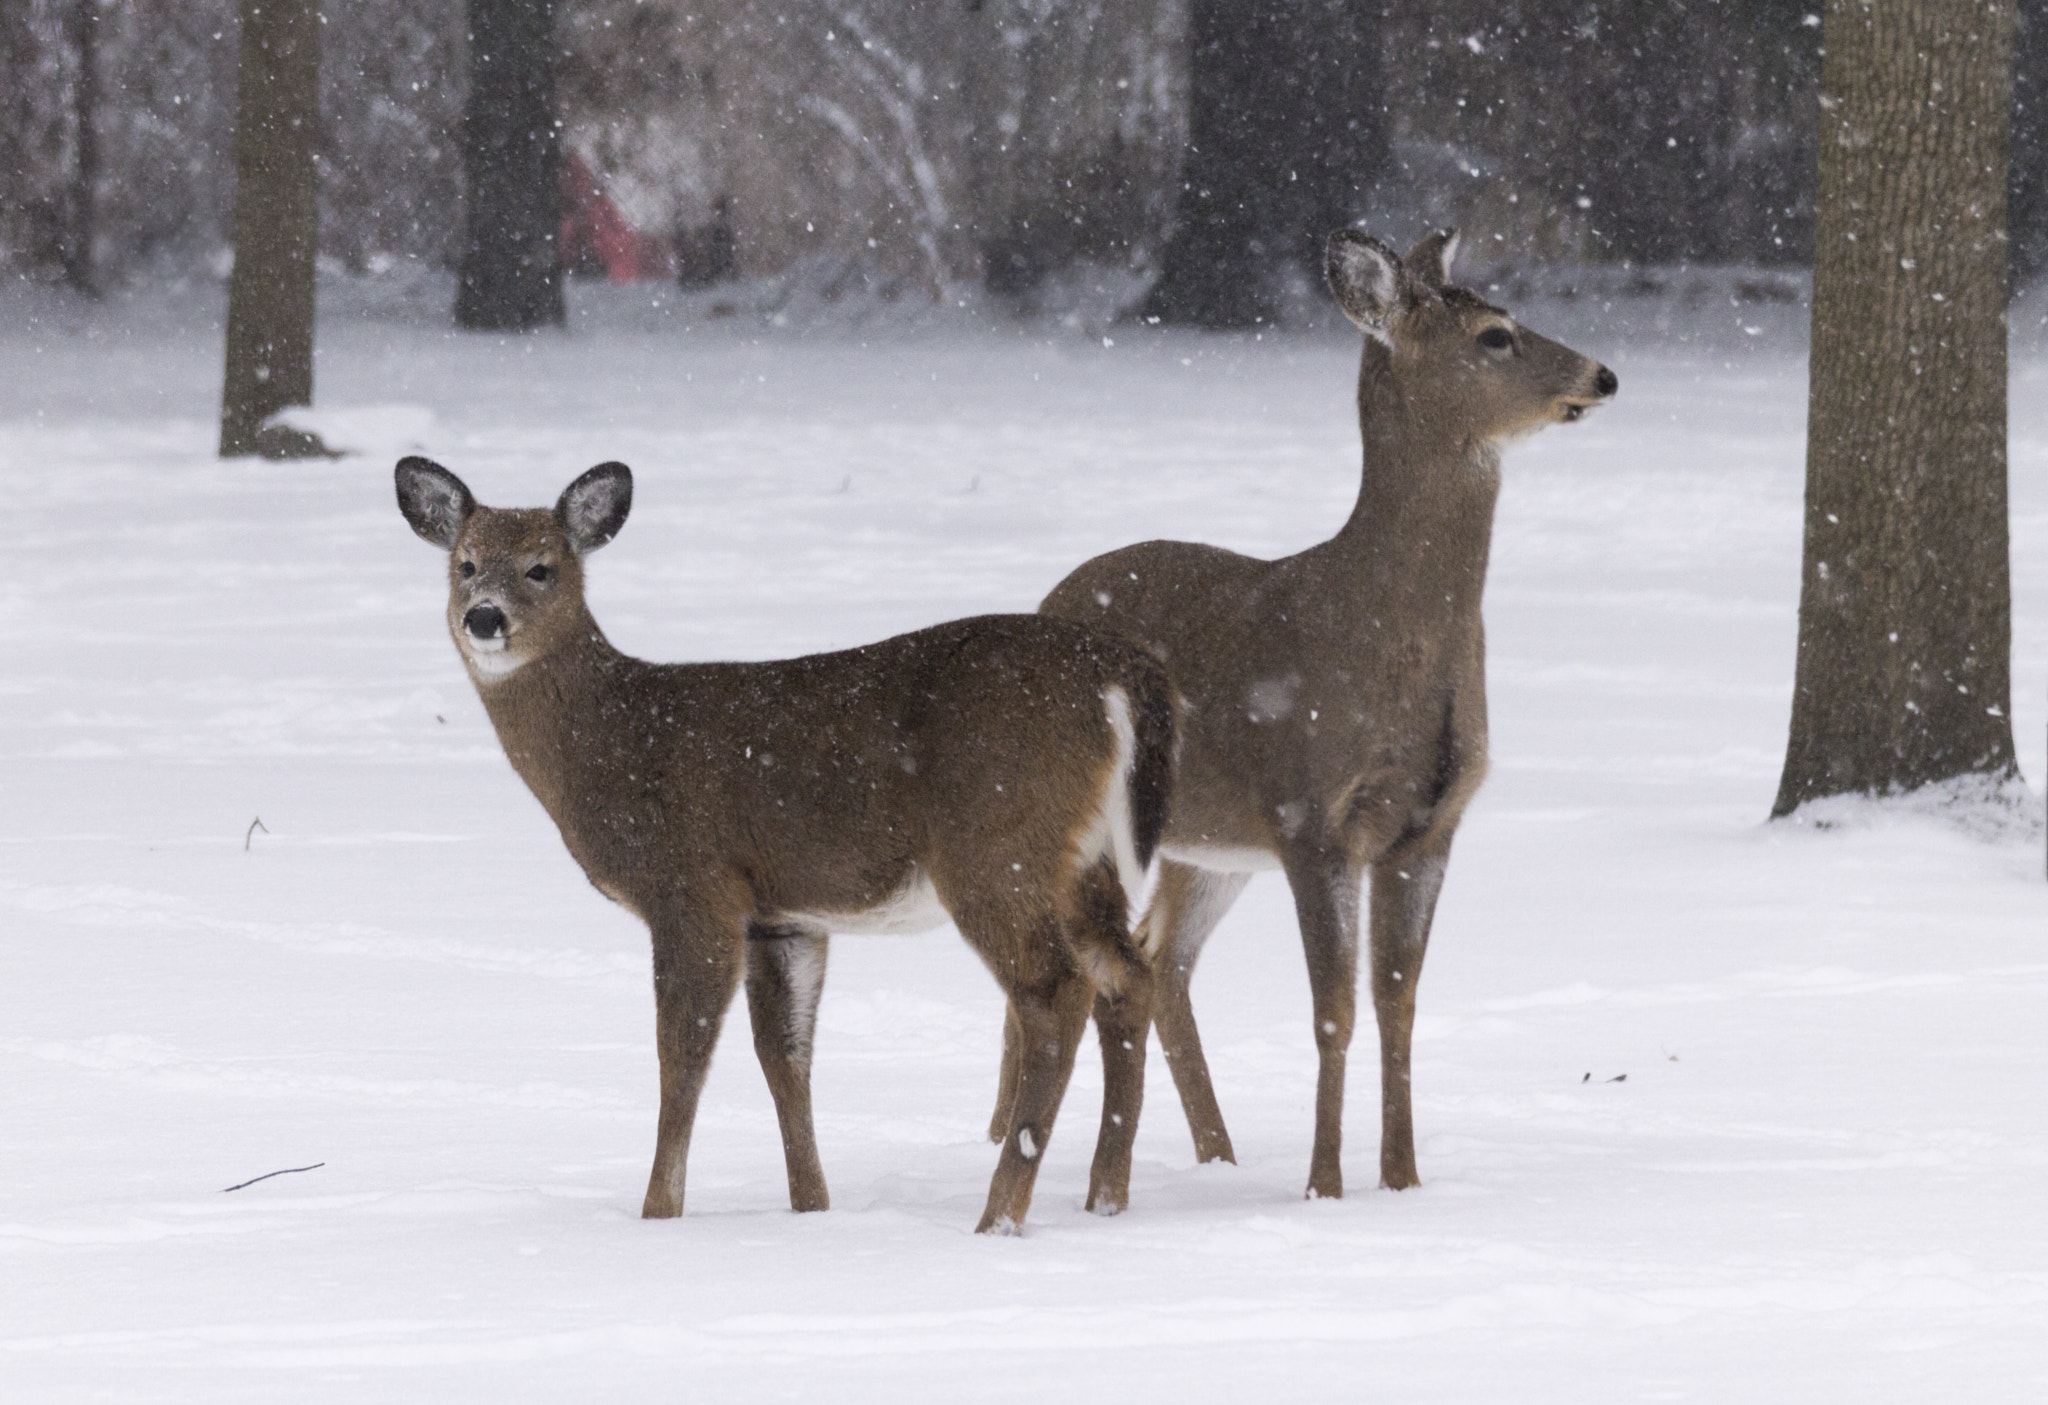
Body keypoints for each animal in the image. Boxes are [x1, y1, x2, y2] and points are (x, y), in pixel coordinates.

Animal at [394, 457, 1175, 1233]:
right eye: (464, 564)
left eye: (542, 567)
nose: (483, 616)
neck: (619, 741)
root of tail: (1117, 675)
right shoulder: (782, 915)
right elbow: (784, 1057)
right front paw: (810, 1207)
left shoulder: (694, 886)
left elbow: (681, 1057)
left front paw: (658, 1214)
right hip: (1084, 860)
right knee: (1130, 974)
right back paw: (1107, 1196)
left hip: (995, 846)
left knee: (1056, 990)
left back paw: (1000, 1216)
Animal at [991, 228, 1617, 1200]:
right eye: (1495, 336)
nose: (1603, 375)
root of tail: (1047, 598)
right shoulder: (1309, 810)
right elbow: (1334, 1009)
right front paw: (1326, 1183)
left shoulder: (1430, 825)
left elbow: (1399, 1002)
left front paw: (1401, 1179)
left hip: (1205, 845)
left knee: (1163, 962)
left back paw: (1217, 1155)